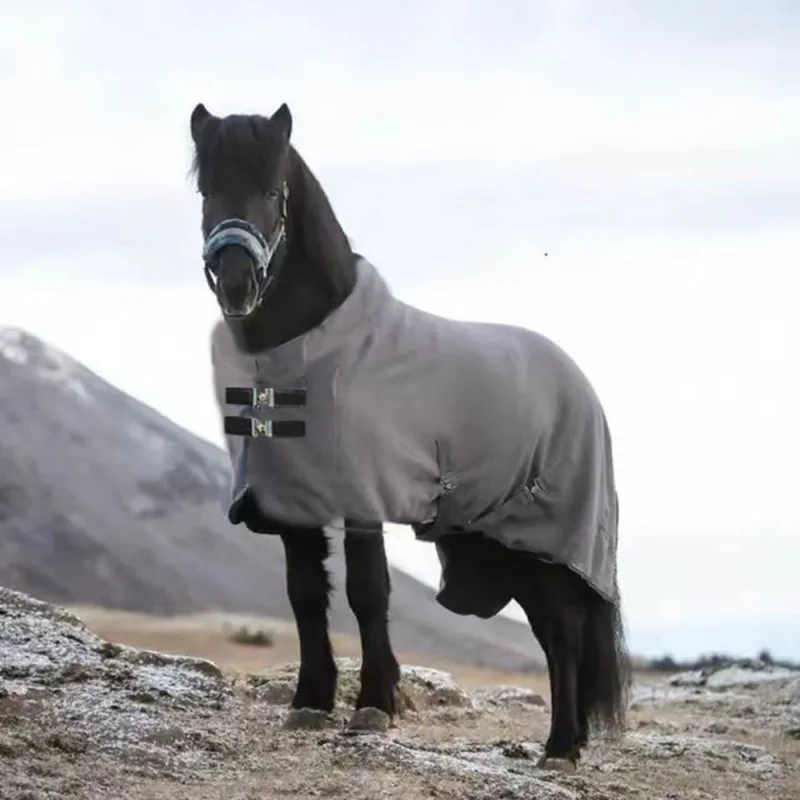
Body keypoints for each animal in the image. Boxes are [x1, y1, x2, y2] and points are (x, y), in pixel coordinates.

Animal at [189, 101, 631, 769]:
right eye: (206, 189)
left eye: (271, 191)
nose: (237, 282)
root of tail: (581, 386)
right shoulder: (291, 505)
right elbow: (304, 594)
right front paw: (310, 701)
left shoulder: (363, 498)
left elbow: (368, 591)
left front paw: (374, 703)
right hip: (512, 546)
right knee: (558, 632)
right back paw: (570, 739)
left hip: (547, 540)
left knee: (561, 630)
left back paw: (559, 747)